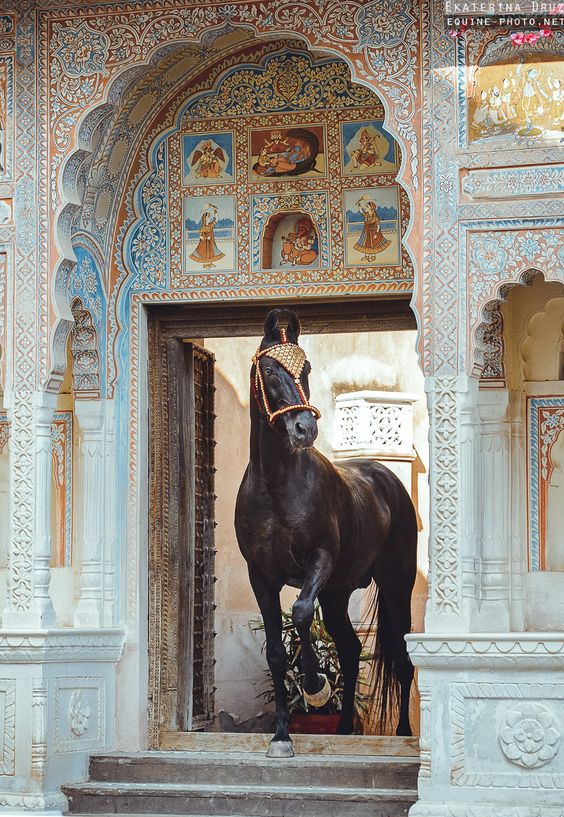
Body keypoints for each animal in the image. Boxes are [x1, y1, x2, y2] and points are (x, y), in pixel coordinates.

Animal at [236, 308, 416, 760]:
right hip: (337, 594)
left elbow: (300, 612)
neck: (277, 485)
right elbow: (276, 651)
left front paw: (315, 686)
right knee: (351, 652)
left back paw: (404, 735)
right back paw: (344, 729)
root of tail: (386, 477)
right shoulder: (260, 576)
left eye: (307, 369)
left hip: (395, 585)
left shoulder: (319, 561)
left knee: (404, 658)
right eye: (269, 369)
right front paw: (282, 736)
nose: (304, 428)